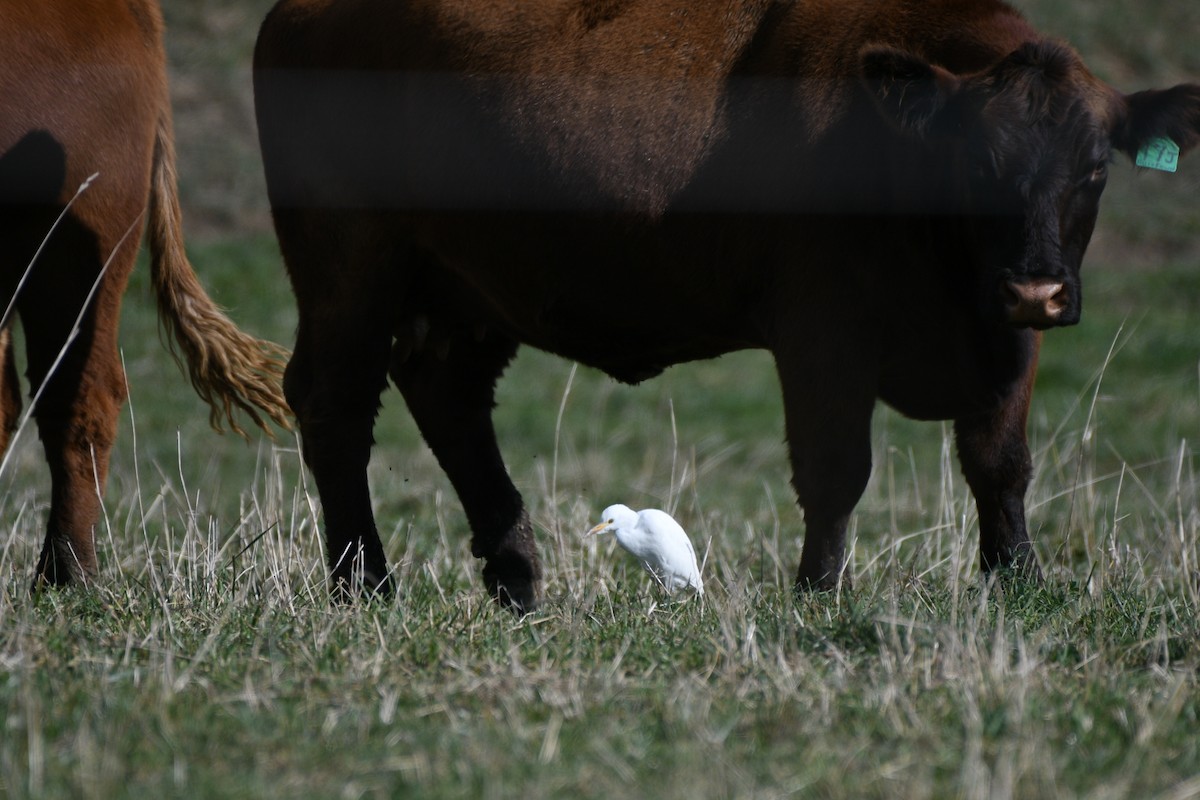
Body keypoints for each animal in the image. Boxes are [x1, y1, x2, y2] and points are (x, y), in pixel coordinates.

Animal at [253, 0, 1200, 611]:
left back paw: (516, 578)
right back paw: (363, 585)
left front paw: (1018, 585)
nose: (1035, 286)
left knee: (446, 397)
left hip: (464, 290)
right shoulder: (822, 332)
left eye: (1095, 168)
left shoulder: (1004, 339)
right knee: (333, 402)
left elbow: (999, 463)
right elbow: (835, 470)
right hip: (346, 268)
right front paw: (818, 596)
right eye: (976, 162)